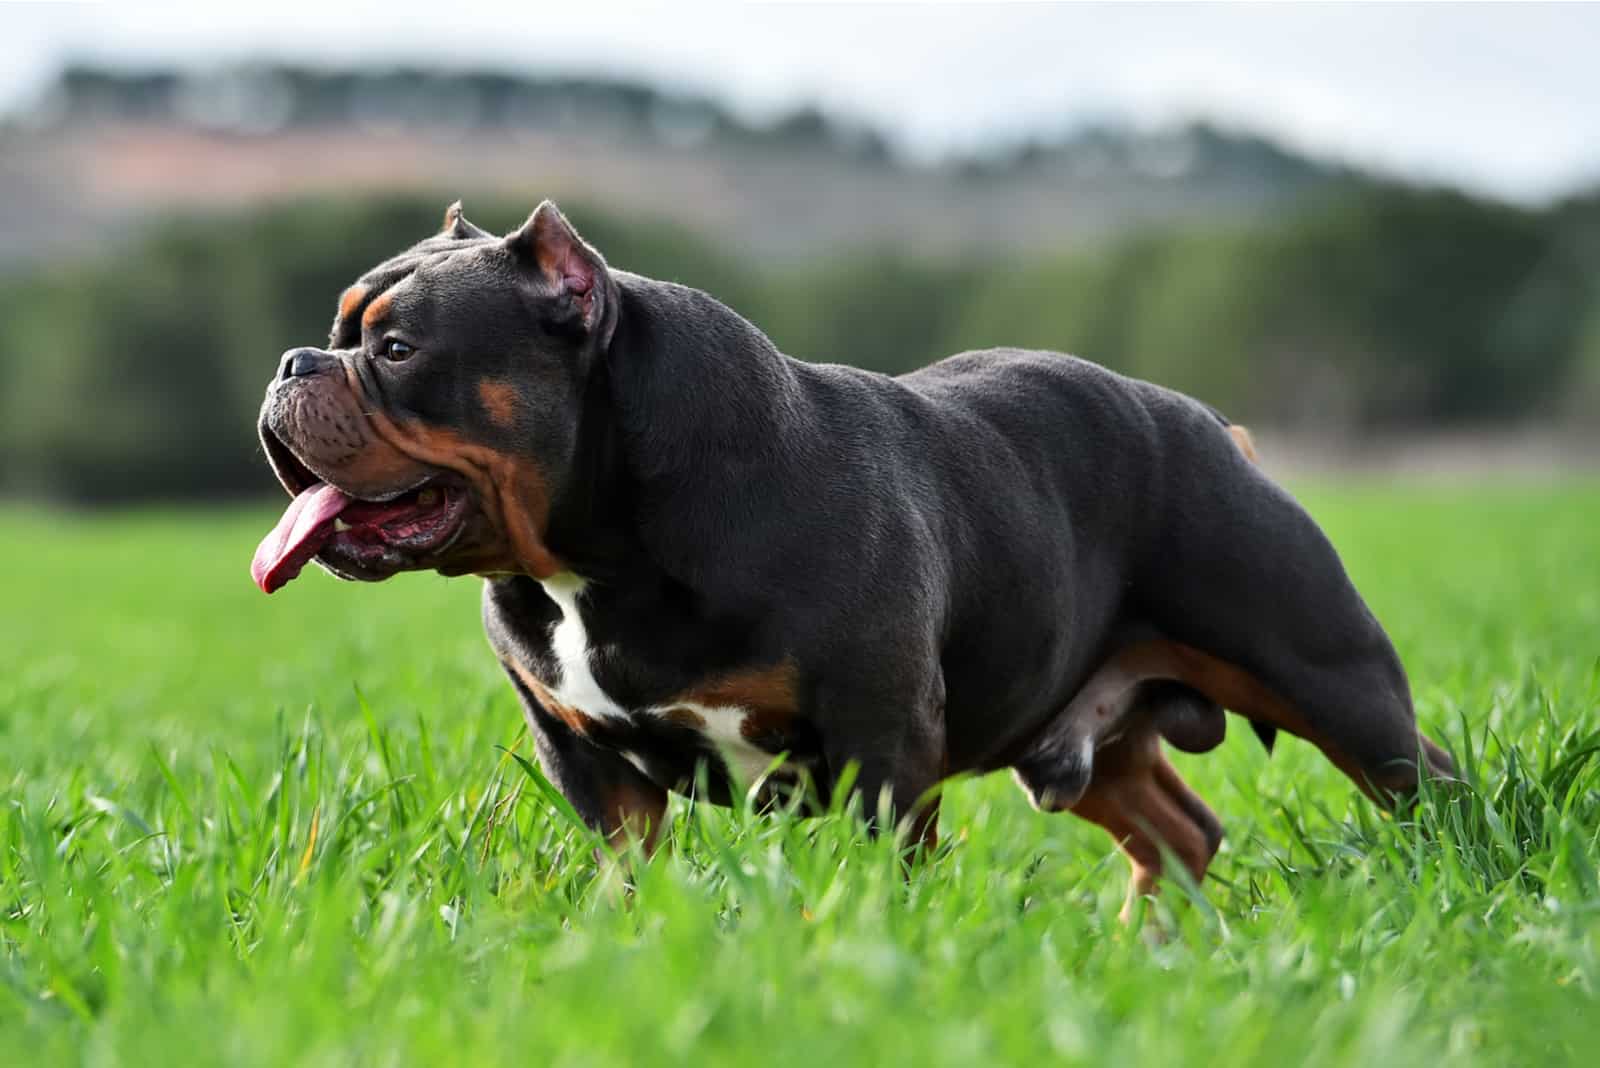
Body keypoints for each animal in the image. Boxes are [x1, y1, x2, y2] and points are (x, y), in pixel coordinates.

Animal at [249, 199, 1452, 920]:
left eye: (397, 348)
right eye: (343, 332)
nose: (293, 359)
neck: (598, 552)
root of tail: (1219, 431)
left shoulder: (879, 738)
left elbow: (883, 860)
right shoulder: (584, 756)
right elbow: (628, 862)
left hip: (1324, 672)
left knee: (1413, 772)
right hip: (1079, 734)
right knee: (1176, 831)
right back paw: (1143, 951)